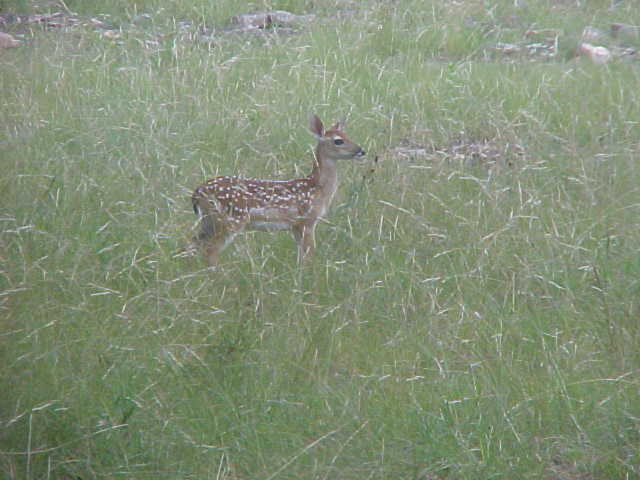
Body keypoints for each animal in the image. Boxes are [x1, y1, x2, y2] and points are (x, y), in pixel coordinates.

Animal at [191, 114, 366, 267]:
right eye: (338, 141)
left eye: (347, 135)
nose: (361, 151)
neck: (317, 188)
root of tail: (197, 192)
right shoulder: (307, 220)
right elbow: (309, 256)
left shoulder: (295, 226)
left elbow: (302, 257)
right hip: (230, 219)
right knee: (210, 250)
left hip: (210, 221)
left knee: (193, 244)